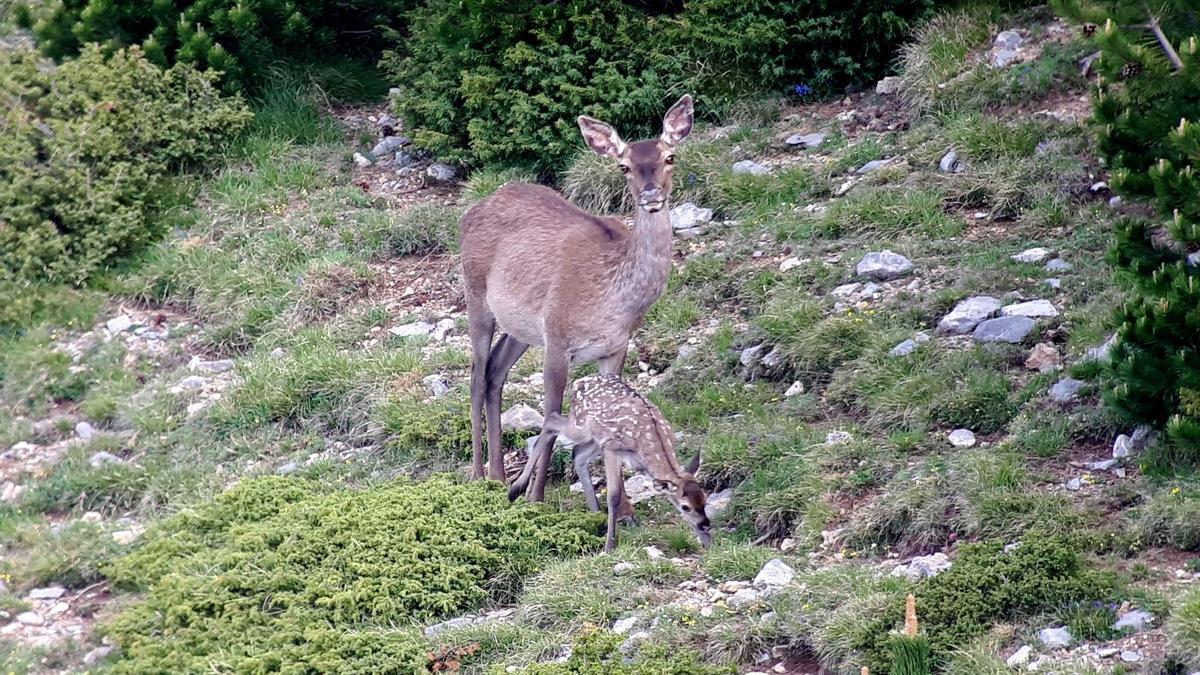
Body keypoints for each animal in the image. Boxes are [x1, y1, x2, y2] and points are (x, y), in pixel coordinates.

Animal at [456, 93, 696, 499]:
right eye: (624, 167)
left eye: (669, 157)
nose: (651, 195)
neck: (614, 302)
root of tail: (471, 211)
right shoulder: (558, 337)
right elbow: (552, 418)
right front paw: (535, 498)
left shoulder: (615, 347)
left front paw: (621, 505)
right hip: (476, 294)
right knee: (475, 374)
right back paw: (479, 475)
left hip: (522, 327)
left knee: (494, 372)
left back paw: (499, 475)